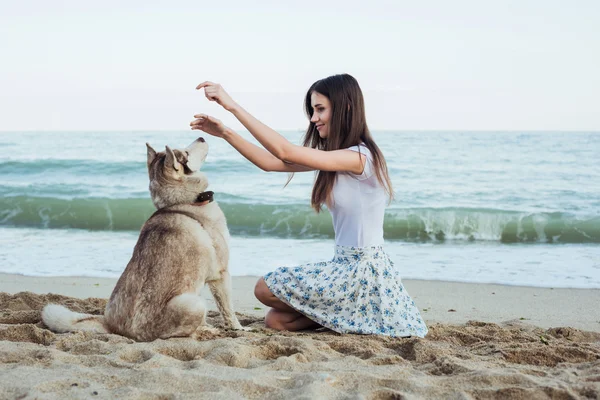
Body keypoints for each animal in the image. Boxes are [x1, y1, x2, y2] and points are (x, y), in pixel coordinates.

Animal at [41, 138, 244, 340]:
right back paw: (205, 331)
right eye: (185, 153)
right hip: (193, 304)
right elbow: (228, 310)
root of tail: (117, 329)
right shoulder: (220, 274)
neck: (184, 202)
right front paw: (238, 328)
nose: (201, 137)